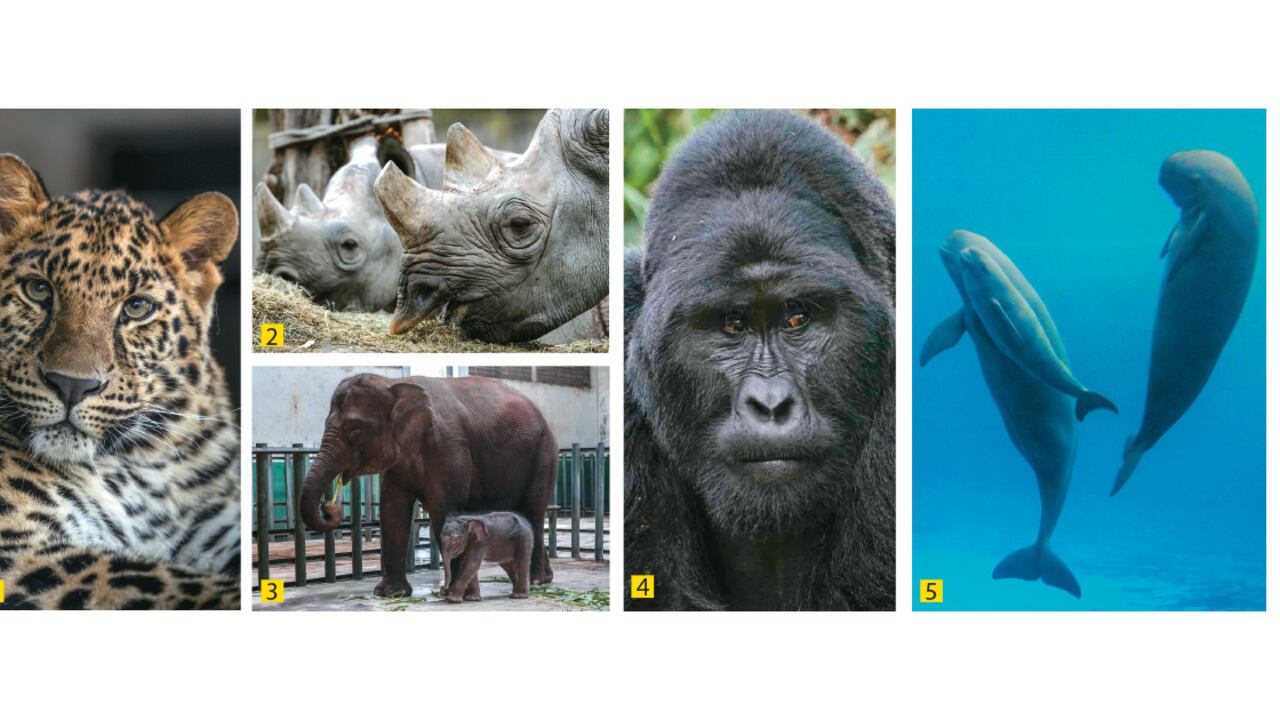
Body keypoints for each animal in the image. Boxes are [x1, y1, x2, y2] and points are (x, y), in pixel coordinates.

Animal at [0, 153, 240, 610]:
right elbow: (169, 581)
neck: (145, 476)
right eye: (38, 289)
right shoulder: (20, 548)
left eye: (137, 308)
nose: (71, 385)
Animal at [299, 374, 557, 597]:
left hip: (543, 455)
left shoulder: (448, 449)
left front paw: (454, 593)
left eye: (355, 429)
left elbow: (443, 508)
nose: (329, 507)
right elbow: (392, 509)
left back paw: (535, 581)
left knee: (533, 512)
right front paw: (390, 593)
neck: (392, 383)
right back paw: (543, 579)